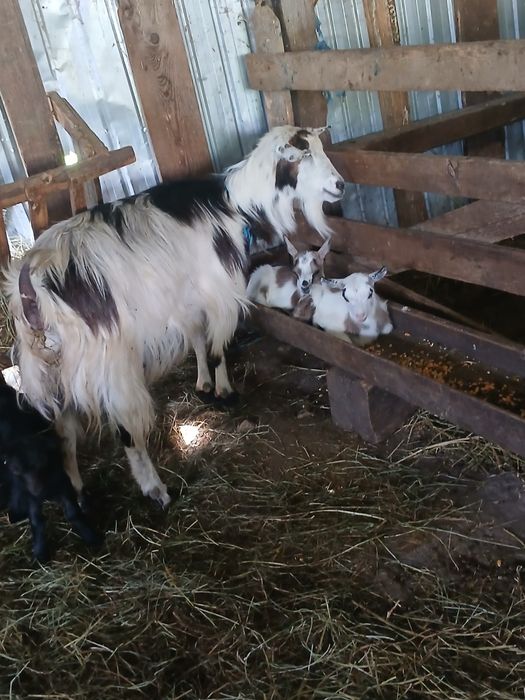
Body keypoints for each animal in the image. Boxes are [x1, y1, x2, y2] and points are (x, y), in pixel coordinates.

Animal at [0, 373, 102, 562]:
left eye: (43, 462)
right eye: (17, 470)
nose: (41, 491)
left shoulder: (61, 479)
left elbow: (72, 511)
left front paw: (91, 537)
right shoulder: (28, 492)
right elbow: (36, 519)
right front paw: (40, 552)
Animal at [5, 125, 344, 508]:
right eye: (304, 155)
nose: (340, 185)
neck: (234, 205)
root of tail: (30, 285)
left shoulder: (186, 297)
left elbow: (197, 337)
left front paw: (204, 384)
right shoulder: (220, 289)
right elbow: (218, 346)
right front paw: (225, 391)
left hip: (55, 363)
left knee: (63, 428)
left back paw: (77, 493)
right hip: (108, 359)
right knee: (125, 429)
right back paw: (155, 489)